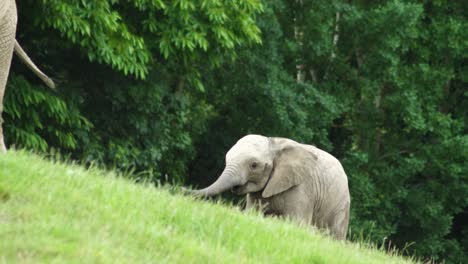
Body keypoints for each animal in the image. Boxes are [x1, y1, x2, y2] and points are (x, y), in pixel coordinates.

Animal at [192, 134, 350, 239]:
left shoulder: (303, 188)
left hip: (341, 204)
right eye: (227, 159)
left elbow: (297, 223)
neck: (274, 144)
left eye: (254, 165)